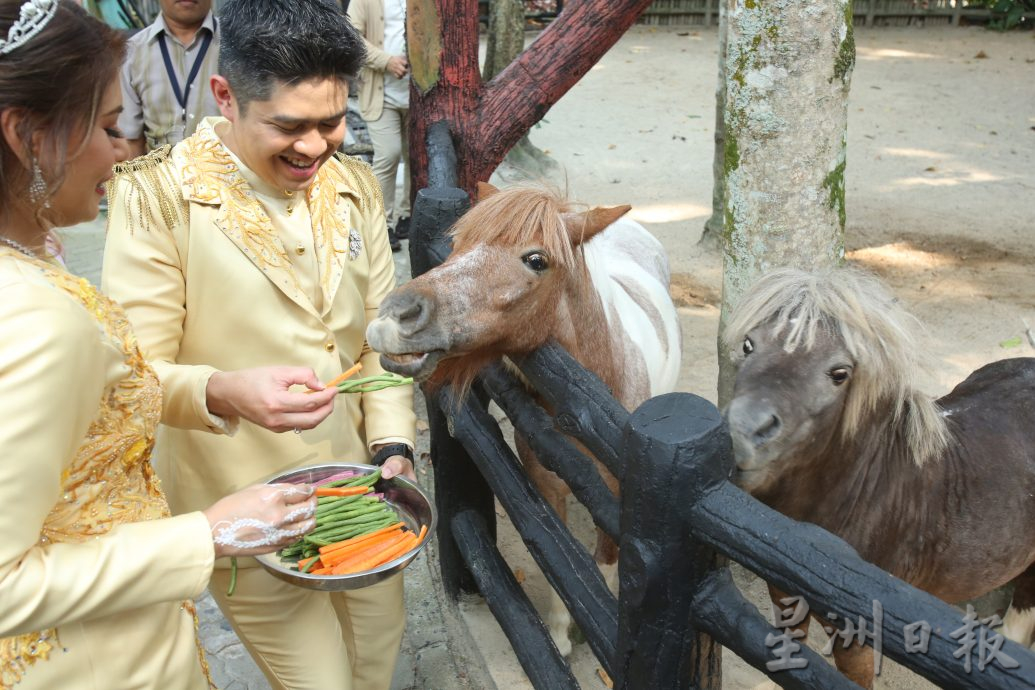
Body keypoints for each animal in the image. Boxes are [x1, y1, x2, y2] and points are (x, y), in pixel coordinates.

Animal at [368, 181, 683, 657]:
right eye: (458, 245)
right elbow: (558, 556)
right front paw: (561, 633)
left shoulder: (619, 501)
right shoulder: (544, 483)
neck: (586, 408)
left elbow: (606, 561)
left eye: (536, 260)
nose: (395, 315)